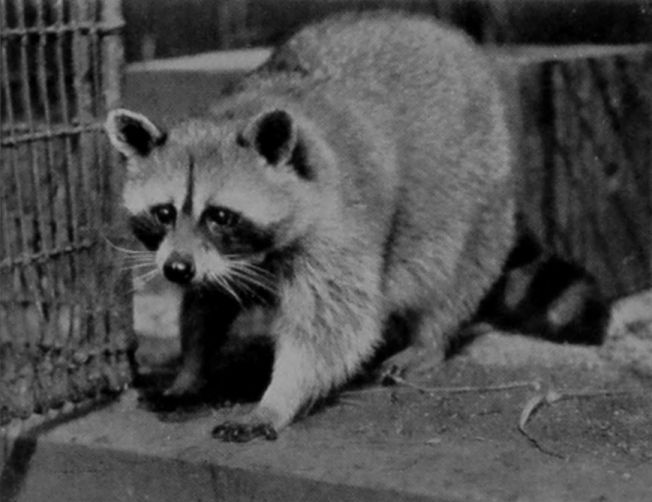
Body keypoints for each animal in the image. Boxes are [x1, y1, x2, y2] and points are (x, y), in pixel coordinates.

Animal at [104, 13, 601, 442]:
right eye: (164, 212)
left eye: (221, 216)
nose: (176, 270)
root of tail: (432, 27)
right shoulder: (206, 258)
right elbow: (205, 305)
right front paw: (192, 371)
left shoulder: (335, 232)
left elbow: (330, 328)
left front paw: (276, 399)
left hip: (477, 188)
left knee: (453, 273)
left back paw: (431, 337)